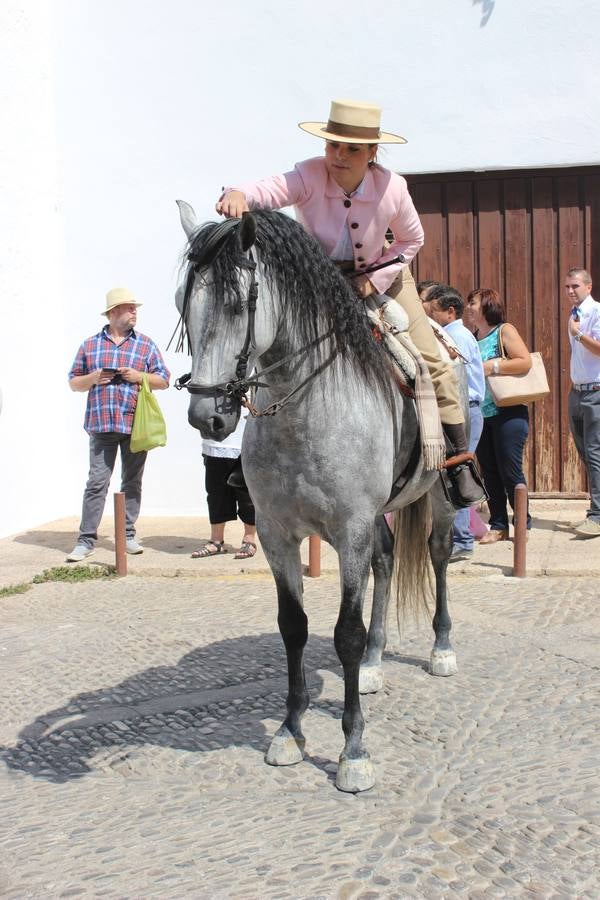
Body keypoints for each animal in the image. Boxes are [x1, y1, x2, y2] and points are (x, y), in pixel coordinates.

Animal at [173, 202, 462, 793]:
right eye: (181, 306)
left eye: (237, 304)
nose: (207, 417)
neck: (306, 409)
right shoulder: (276, 535)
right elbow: (295, 628)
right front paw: (290, 731)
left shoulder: (349, 530)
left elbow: (344, 632)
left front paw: (353, 751)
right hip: (377, 517)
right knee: (386, 561)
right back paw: (374, 663)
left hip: (438, 496)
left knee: (439, 555)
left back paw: (441, 648)